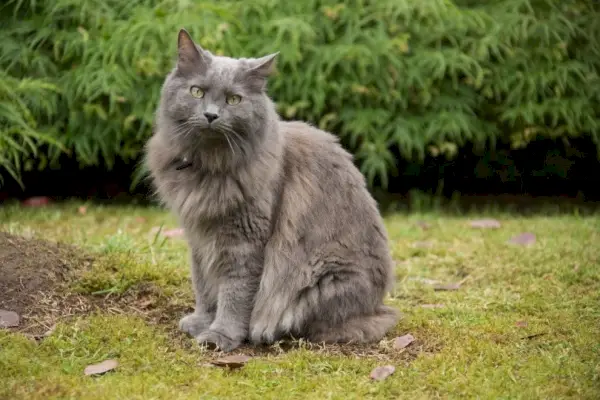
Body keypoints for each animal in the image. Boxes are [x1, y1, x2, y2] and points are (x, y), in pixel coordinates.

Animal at [145, 29, 398, 352]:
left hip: (320, 278)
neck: (209, 166)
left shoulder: (244, 241)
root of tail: (376, 306)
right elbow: (204, 285)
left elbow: (234, 293)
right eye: (197, 92)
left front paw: (221, 335)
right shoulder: (199, 237)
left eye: (234, 99)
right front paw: (202, 321)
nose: (211, 115)